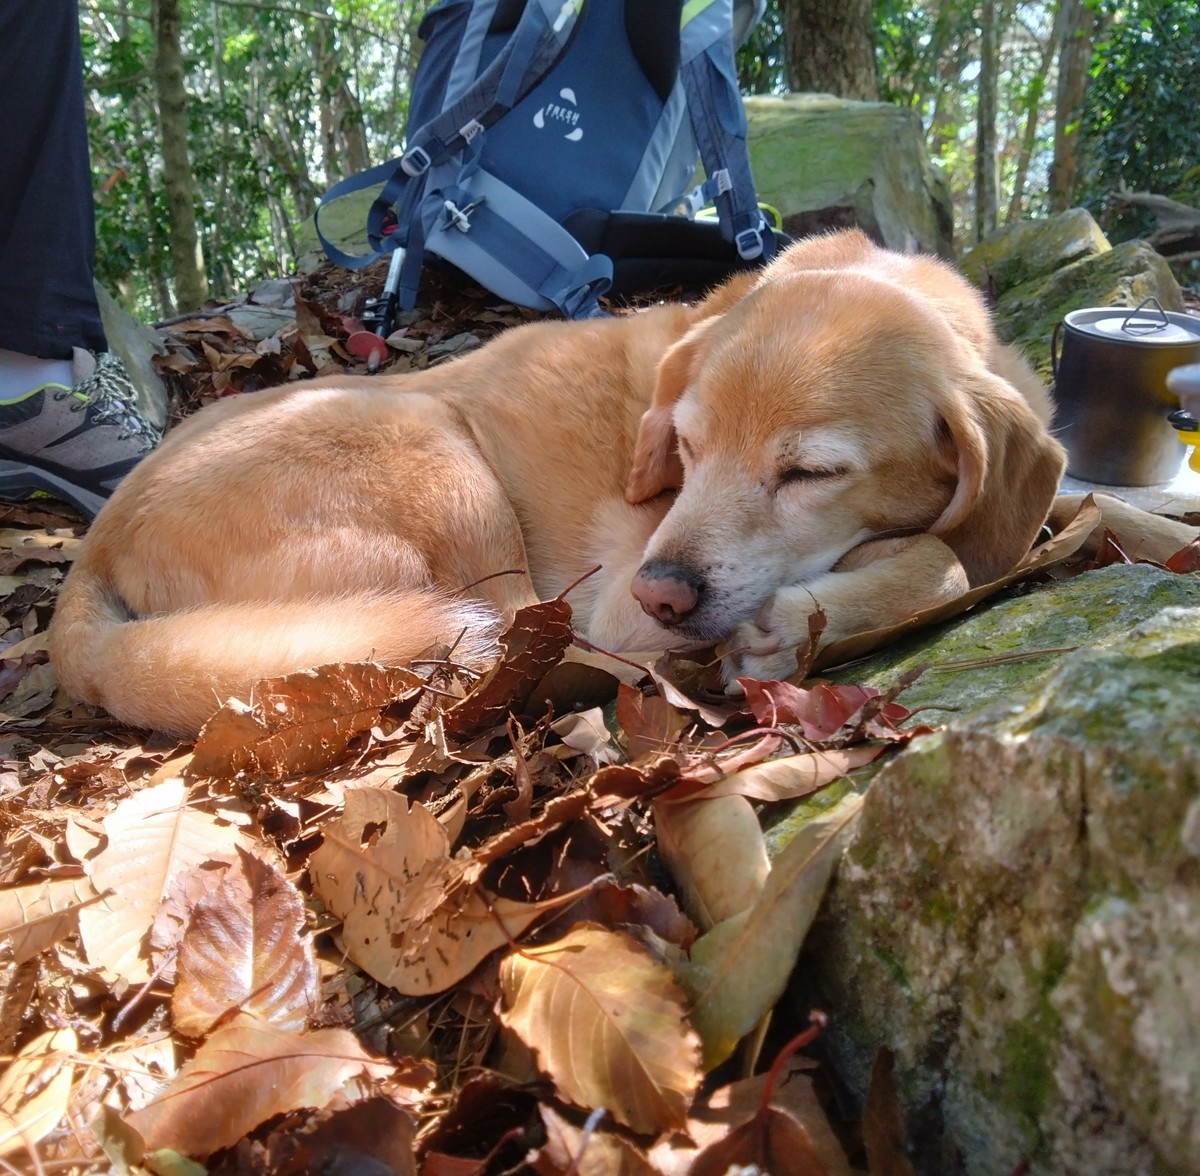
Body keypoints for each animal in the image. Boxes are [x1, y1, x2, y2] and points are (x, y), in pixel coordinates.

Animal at [51, 229, 1075, 734]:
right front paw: (797, 621)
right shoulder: (618, 589)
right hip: (443, 464)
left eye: (811, 471)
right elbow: (947, 555)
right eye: (686, 448)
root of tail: (93, 550)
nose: (664, 595)